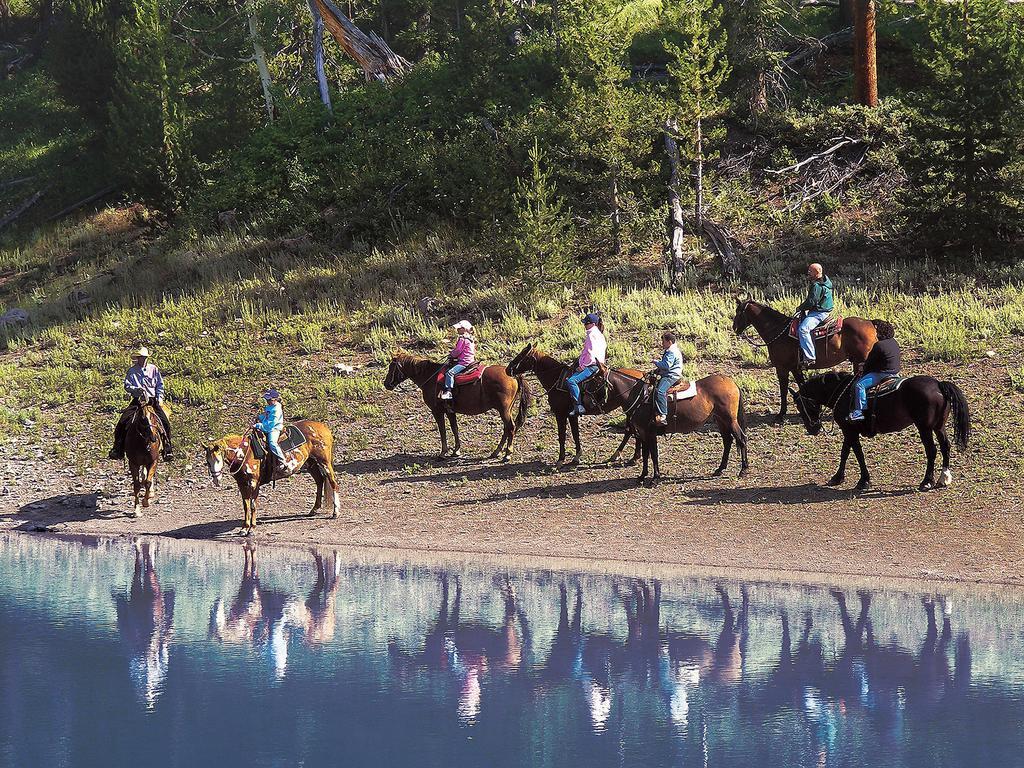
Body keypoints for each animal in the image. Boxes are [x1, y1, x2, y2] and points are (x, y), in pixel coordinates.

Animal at [203, 421, 339, 536]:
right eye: (208, 461)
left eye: (218, 459)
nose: (216, 480)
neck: (245, 452)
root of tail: (324, 427)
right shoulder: (242, 484)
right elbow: (246, 506)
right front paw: (244, 528)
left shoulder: (254, 483)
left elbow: (253, 505)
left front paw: (252, 528)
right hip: (311, 464)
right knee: (319, 481)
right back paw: (314, 509)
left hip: (324, 462)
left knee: (333, 483)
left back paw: (335, 512)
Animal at [382, 354, 528, 462]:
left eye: (392, 367)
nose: (386, 384)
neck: (430, 377)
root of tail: (513, 374)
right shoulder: (450, 411)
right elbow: (454, 428)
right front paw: (456, 451)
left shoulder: (437, 411)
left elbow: (442, 431)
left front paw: (443, 453)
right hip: (507, 410)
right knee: (507, 429)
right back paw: (496, 452)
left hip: (503, 410)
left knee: (510, 427)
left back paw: (507, 454)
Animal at [602, 370, 749, 483]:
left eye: (597, 381)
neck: (642, 397)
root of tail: (731, 382)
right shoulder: (643, 434)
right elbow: (646, 454)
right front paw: (642, 476)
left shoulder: (650, 433)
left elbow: (653, 454)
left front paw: (655, 478)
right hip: (721, 420)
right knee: (728, 441)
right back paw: (720, 469)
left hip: (730, 420)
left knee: (741, 439)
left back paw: (743, 470)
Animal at [729, 296, 880, 423]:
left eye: (738, 311)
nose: (734, 328)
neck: (778, 331)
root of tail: (870, 323)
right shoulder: (795, 368)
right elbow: (801, 385)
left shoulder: (782, 368)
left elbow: (783, 390)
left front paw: (781, 414)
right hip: (857, 362)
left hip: (861, 361)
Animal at [786, 374, 970, 493]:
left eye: (801, 406)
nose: (813, 429)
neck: (842, 392)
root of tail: (938, 384)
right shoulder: (849, 431)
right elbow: (845, 452)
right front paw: (838, 477)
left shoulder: (850, 431)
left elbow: (857, 454)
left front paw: (863, 481)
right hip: (938, 426)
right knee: (945, 446)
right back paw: (944, 477)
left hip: (924, 427)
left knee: (931, 450)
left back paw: (927, 482)